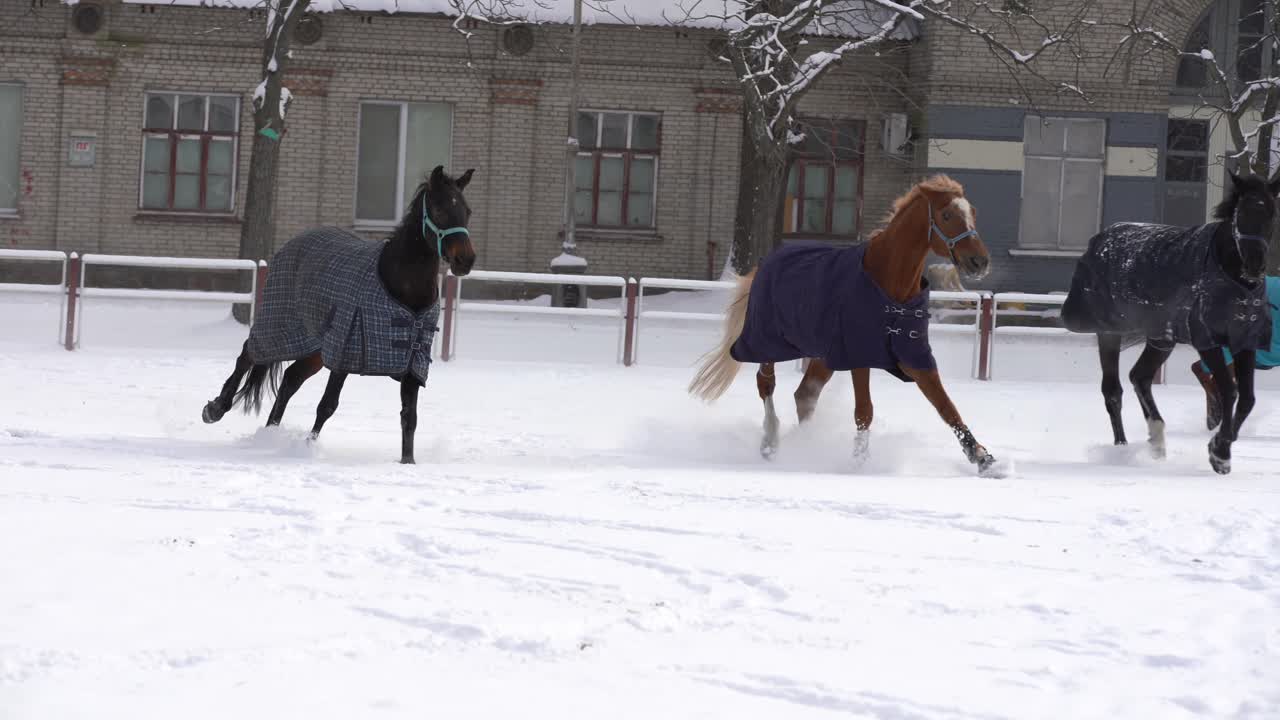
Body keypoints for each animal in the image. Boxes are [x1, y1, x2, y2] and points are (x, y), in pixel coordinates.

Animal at [201, 165, 477, 464]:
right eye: (438, 209)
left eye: (467, 211)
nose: (466, 260)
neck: (401, 287)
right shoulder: (346, 352)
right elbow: (327, 405)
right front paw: (309, 448)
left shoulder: (412, 362)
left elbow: (409, 417)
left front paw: (408, 462)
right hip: (281, 326)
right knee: (248, 354)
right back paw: (216, 409)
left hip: (316, 349)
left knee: (289, 380)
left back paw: (270, 434)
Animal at [688, 175, 998, 474]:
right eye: (946, 215)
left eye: (972, 212)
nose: (980, 262)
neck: (888, 286)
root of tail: (765, 264)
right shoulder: (857, 354)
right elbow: (864, 410)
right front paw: (859, 461)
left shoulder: (914, 355)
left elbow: (946, 406)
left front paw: (982, 458)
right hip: (768, 343)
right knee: (766, 384)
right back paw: (771, 442)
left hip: (822, 355)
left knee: (804, 395)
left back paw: (807, 444)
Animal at [1060, 170, 1277, 474]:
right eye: (1242, 212)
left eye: (1271, 212)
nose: (1255, 265)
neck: (1231, 278)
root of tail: (1101, 238)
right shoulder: (1207, 340)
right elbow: (1229, 390)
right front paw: (1220, 453)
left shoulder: (1245, 340)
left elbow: (1247, 398)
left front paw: (1220, 446)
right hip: (1109, 331)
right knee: (1113, 391)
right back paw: (1121, 449)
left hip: (1161, 338)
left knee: (1139, 377)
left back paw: (1157, 440)